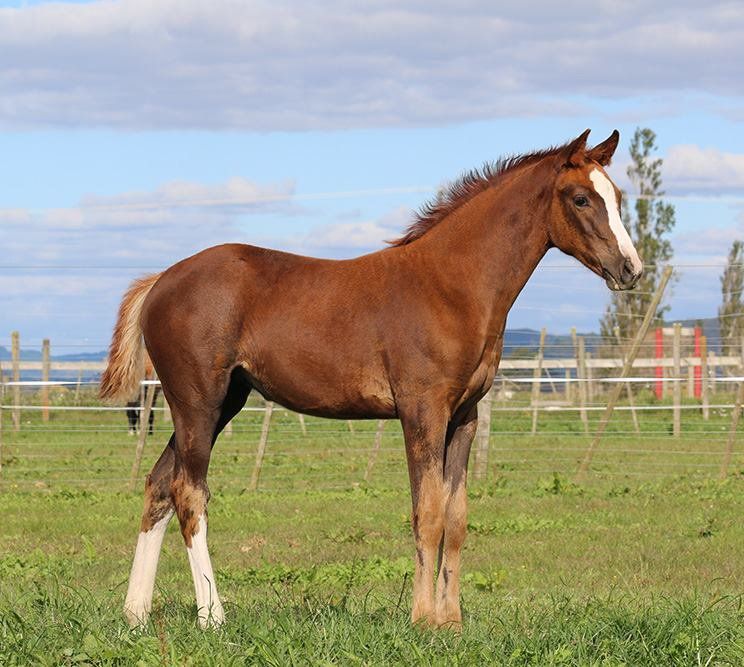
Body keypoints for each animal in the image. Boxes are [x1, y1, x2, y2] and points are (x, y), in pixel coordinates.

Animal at [100, 129, 641, 630]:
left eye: (617, 196)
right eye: (581, 198)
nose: (630, 269)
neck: (450, 286)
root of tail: (160, 281)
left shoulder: (465, 417)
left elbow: (457, 518)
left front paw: (452, 621)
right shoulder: (422, 411)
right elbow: (428, 513)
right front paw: (423, 619)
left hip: (220, 402)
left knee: (159, 485)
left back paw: (136, 614)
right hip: (197, 402)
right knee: (189, 492)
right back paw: (212, 616)